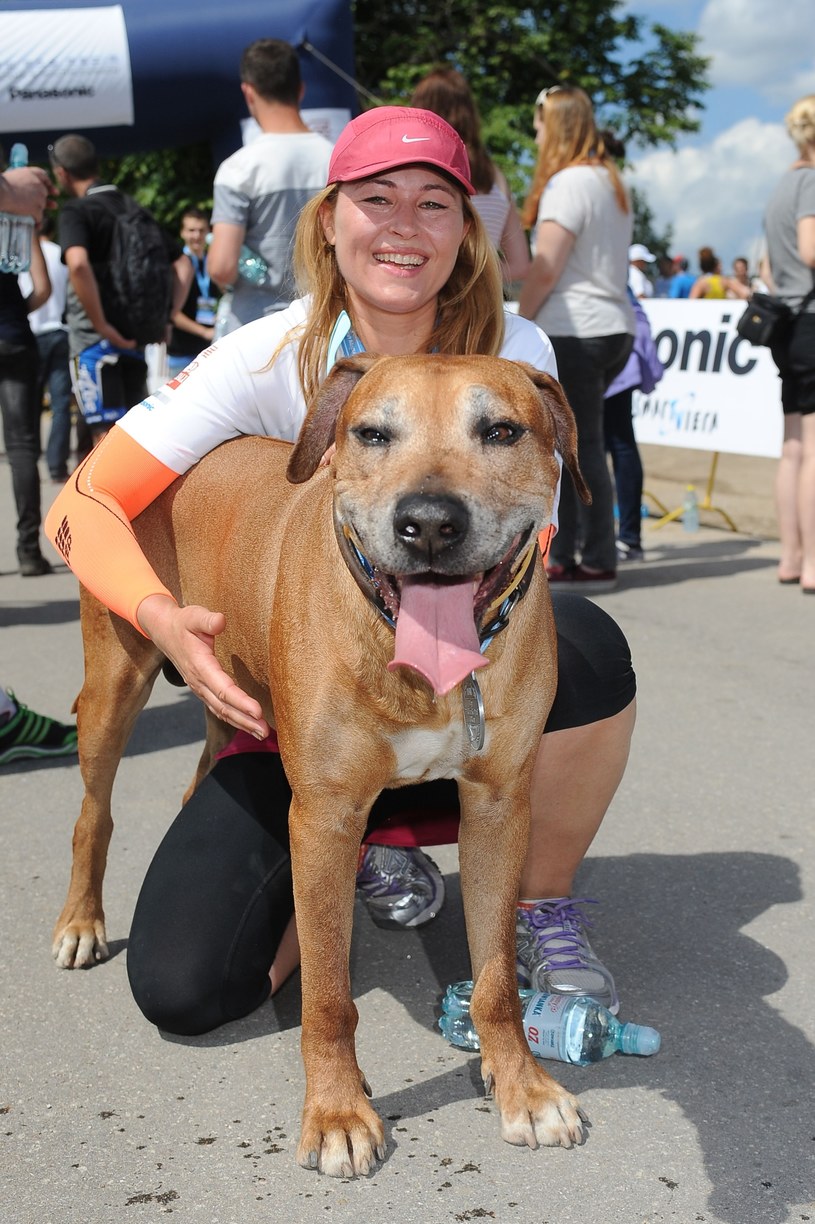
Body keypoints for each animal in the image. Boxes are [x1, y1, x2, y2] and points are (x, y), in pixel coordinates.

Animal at [55, 352, 589, 1175]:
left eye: (501, 431)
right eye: (372, 433)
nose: (429, 523)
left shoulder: (499, 807)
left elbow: (497, 976)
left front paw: (521, 1087)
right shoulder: (326, 820)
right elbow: (329, 996)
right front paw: (337, 1110)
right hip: (116, 677)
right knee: (93, 811)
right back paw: (82, 921)